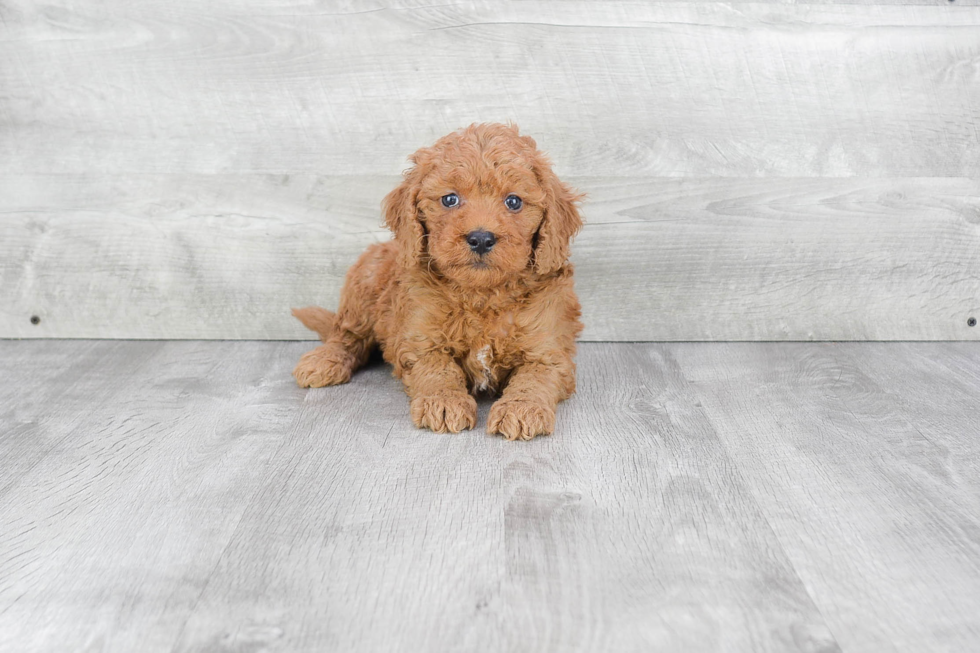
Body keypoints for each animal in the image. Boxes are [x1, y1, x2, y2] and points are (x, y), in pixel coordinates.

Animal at [290, 122, 580, 440]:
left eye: (514, 201)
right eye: (450, 199)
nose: (481, 238)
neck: (481, 296)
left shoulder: (548, 350)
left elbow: (535, 377)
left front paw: (522, 408)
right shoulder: (420, 340)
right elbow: (438, 369)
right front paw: (443, 403)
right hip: (365, 282)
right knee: (346, 335)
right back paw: (324, 361)